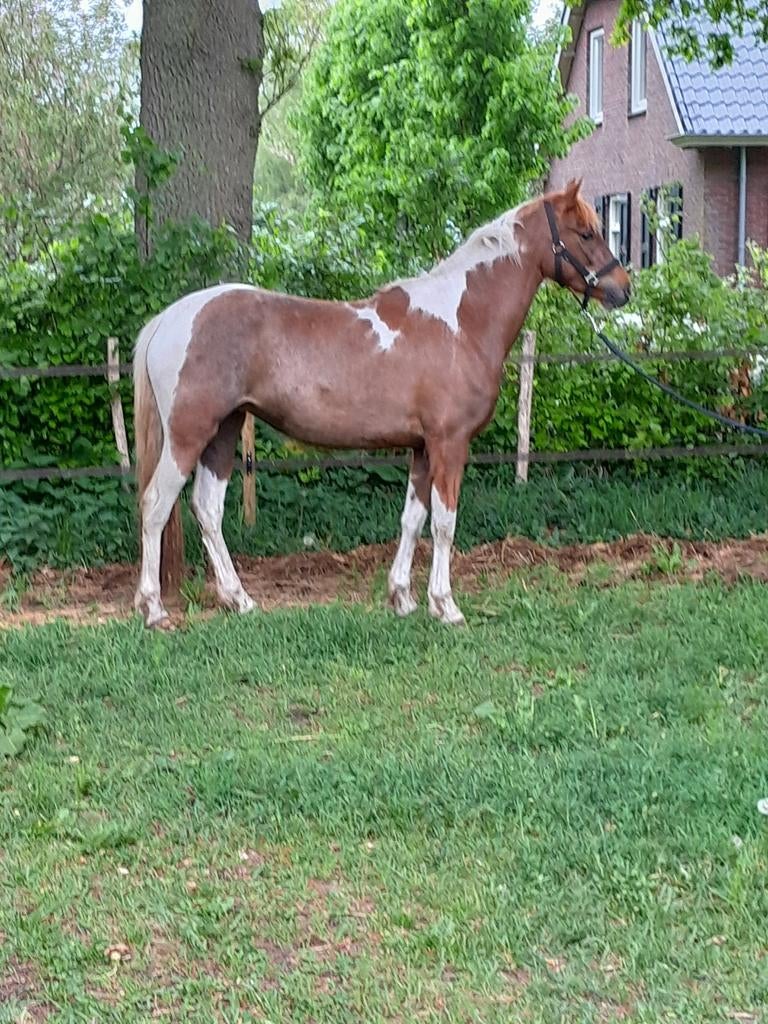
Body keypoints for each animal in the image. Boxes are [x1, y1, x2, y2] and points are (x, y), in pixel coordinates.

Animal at [133, 179, 631, 629]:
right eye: (586, 233)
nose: (623, 289)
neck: (461, 322)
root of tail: (168, 319)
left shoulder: (422, 448)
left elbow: (413, 518)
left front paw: (403, 598)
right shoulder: (450, 443)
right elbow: (444, 523)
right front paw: (446, 606)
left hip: (224, 432)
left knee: (207, 509)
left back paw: (239, 600)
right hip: (189, 435)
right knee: (156, 504)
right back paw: (154, 609)